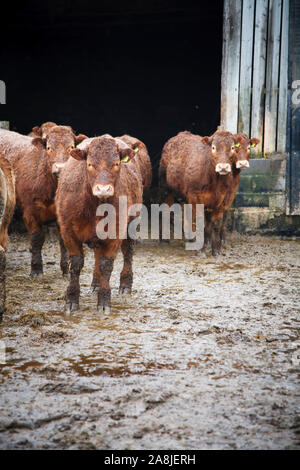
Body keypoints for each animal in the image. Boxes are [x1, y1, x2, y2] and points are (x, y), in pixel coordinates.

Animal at [0, 126, 86, 278]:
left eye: (71, 147)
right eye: (49, 148)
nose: (59, 168)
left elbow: (63, 240)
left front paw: (65, 269)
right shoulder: (29, 211)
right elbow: (37, 238)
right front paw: (36, 269)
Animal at [56, 134, 144, 314]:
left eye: (116, 163)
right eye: (90, 164)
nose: (103, 189)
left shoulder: (116, 231)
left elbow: (106, 265)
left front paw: (104, 300)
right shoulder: (68, 231)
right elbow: (76, 264)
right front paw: (71, 298)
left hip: (132, 223)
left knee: (128, 252)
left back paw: (125, 284)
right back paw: (95, 283)